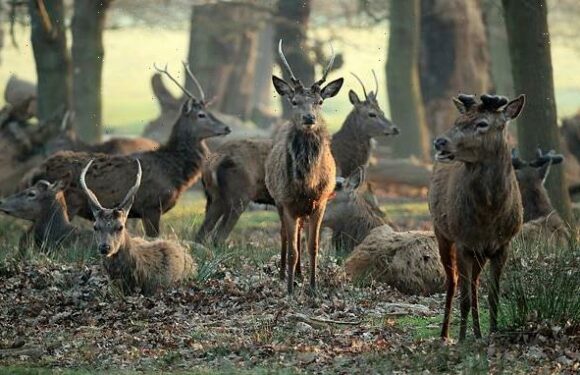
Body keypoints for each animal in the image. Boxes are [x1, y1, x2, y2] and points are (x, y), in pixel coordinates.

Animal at [24, 62, 230, 236]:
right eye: (201, 115)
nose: (226, 127)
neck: (174, 172)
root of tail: (38, 170)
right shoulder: (152, 206)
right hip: (66, 201)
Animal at [268, 40, 344, 294]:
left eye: (320, 102)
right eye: (294, 102)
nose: (309, 118)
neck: (307, 183)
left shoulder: (320, 202)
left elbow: (313, 246)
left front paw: (312, 286)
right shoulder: (287, 201)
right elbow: (292, 248)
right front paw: (290, 289)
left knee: (300, 234)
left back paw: (300, 274)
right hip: (278, 201)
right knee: (284, 235)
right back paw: (284, 274)